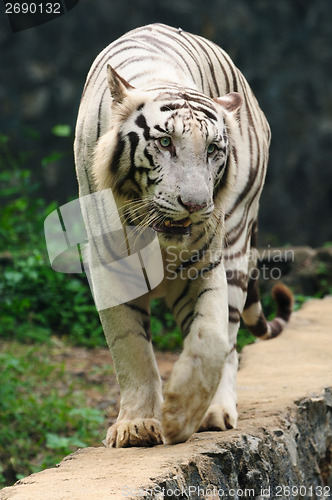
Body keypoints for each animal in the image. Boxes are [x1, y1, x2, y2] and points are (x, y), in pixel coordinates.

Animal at [74, 22, 292, 446]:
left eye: (212, 149)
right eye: (164, 142)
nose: (194, 204)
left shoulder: (205, 265)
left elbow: (211, 340)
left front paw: (179, 416)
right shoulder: (110, 270)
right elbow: (131, 351)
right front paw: (136, 425)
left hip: (237, 242)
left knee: (231, 338)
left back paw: (215, 411)